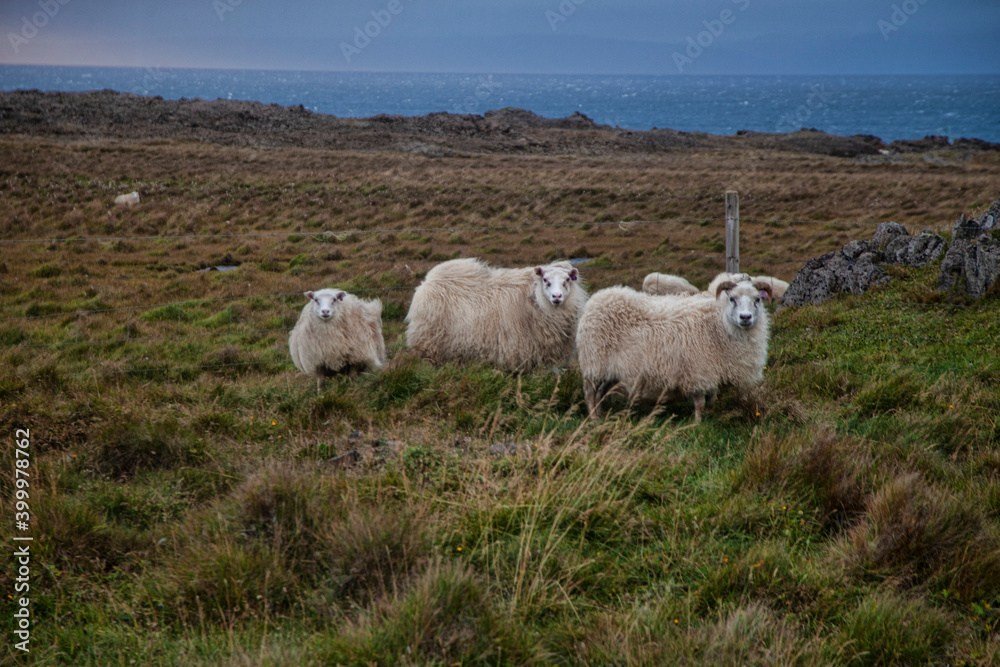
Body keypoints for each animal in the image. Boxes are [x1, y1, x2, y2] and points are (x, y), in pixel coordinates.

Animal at [405, 258, 588, 371]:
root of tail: (427, 281)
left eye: (567, 280)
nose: (557, 297)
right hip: (432, 345)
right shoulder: (518, 350)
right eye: (545, 280)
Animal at [576, 278, 771, 422]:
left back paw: (601, 415)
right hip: (593, 364)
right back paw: (594, 419)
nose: (745, 317)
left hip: (610, 370)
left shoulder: (710, 372)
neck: (719, 325)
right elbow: (700, 403)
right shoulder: (697, 372)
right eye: (732, 299)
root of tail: (596, 300)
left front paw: (708, 415)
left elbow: (710, 400)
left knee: (601, 392)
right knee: (589, 393)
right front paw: (698, 423)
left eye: (757, 299)